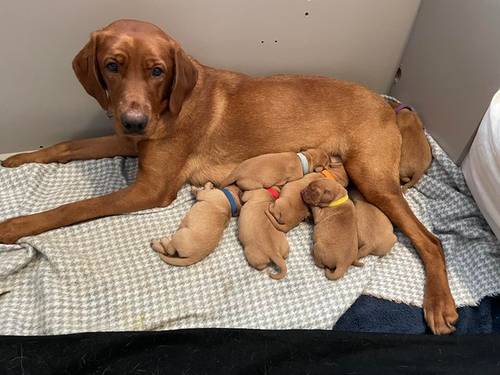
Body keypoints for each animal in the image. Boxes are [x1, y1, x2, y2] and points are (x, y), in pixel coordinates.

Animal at [0, 19, 458, 334]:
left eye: (157, 71)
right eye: (112, 66)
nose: (133, 120)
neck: (171, 105)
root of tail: (385, 104)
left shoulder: (150, 189)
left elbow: (74, 208)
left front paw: (15, 226)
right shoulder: (128, 143)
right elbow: (65, 147)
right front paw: (21, 157)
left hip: (372, 179)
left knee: (431, 241)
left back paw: (439, 304)